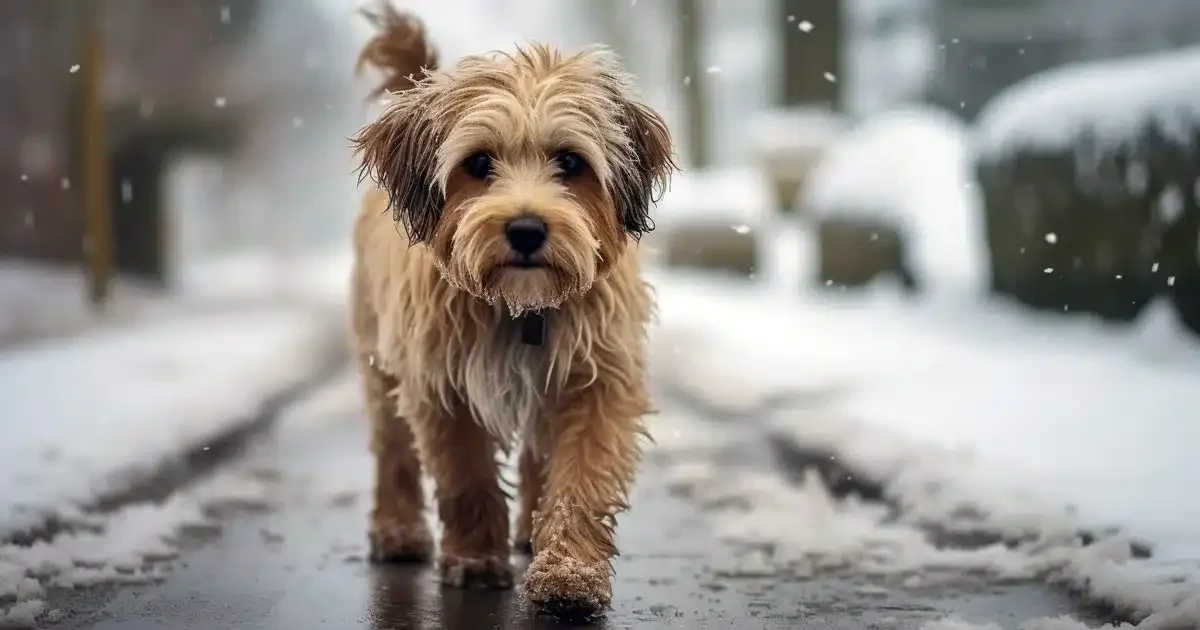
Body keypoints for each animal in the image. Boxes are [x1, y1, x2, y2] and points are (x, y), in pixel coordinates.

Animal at [348, 1, 676, 619]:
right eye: (479, 164)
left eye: (570, 161)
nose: (526, 229)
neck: (522, 308)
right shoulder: (439, 383)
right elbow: (465, 478)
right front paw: (476, 560)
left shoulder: (596, 377)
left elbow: (581, 477)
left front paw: (569, 574)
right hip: (377, 355)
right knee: (392, 451)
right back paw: (398, 531)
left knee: (536, 457)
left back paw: (530, 530)